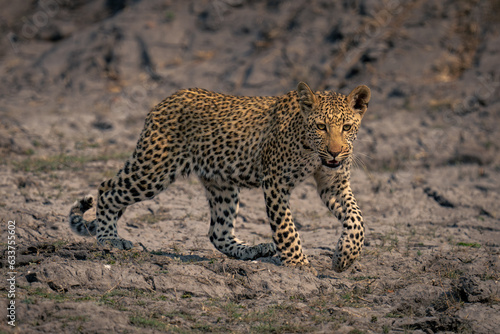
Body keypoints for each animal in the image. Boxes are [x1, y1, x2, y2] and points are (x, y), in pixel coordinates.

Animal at [68, 82, 370, 272]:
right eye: (320, 126)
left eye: (346, 127)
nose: (335, 152)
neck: (312, 152)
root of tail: (164, 101)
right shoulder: (275, 183)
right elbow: (286, 227)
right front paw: (298, 264)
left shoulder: (334, 185)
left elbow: (357, 219)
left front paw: (344, 257)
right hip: (153, 170)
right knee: (107, 189)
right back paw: (109, 238)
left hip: (221, 183)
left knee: (218, 231)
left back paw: (252, 250)